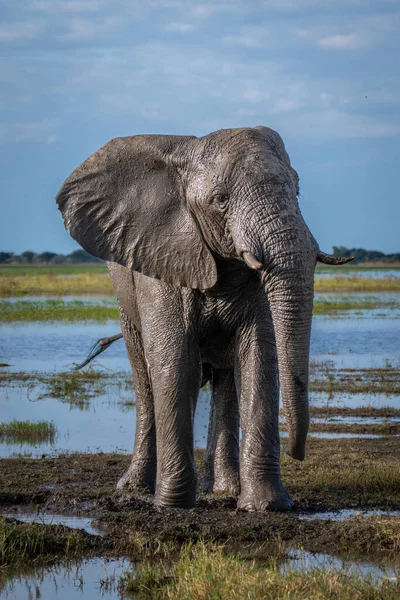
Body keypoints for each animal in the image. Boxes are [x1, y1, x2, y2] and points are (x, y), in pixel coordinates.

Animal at [55, 126, 350, 510]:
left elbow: (257, 358)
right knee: (144, 379)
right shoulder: (160, 257)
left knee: (226, 377)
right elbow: (176, 363)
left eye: (296, 189)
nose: (296, 453)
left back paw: (224, 491)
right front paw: (171, 505)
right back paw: (134, 489)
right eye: (220, 199)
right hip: (124, 298)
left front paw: (267, 506)